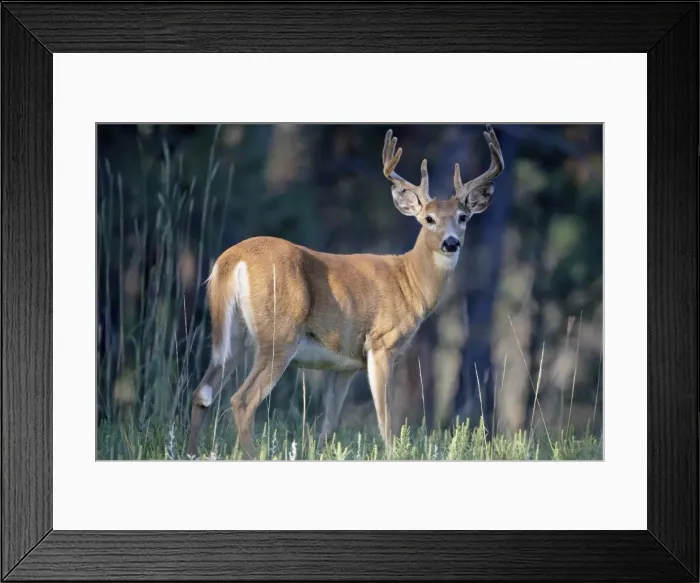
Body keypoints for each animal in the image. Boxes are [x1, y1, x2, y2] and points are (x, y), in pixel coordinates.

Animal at [186, 124, 504, 459]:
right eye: (428, 219)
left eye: (463, 217)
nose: (451, 243)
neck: (409, 281)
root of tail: (230, 260)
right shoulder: (382, 343)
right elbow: (386, 421)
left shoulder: (343, 365)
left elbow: (327, 425)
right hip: (279, 334)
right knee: (242, 400)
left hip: (232, 335)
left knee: (202, 392)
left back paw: (191, 452)